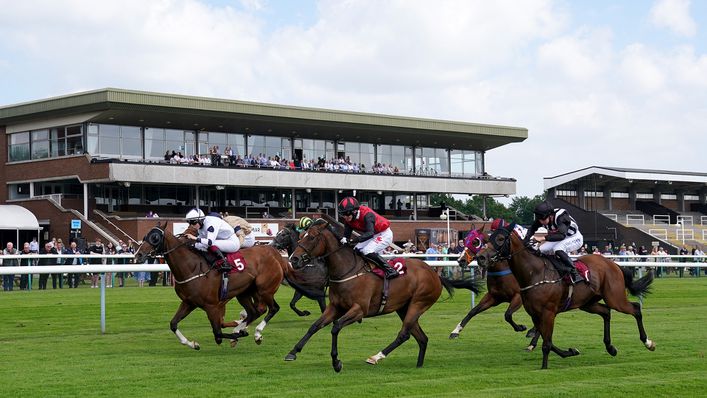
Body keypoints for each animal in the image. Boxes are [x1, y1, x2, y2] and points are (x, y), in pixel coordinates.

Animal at [134, 222, 284, 350]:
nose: (138, 255)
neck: (192, 268)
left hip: (265, 290)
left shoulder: (212, 306)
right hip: (244, 293)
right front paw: (193, 344)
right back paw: (241, 329)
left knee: (273, 308)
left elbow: (217, 334)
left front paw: (240, 333)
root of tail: (274, 255)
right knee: (254, 311)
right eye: (145, 236)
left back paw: (255, 333)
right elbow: (173, 324)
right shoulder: (189, 302)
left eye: (155, 237)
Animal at [284, 219, 478, 372]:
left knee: (404, 334)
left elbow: (335, 327)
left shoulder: (359, 310)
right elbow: (315, 326)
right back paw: (418, 365)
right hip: (404, 308)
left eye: (311, 237)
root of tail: (435, 274)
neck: (346, 270)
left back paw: (376, 357)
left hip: (418, 303)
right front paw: (292, 352)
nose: (294, 259)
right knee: (421, 338)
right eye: (300, 237)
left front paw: (336, 362)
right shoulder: (335, 307)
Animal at [476, 224, 660, 370]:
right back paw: (610, 347)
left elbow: (547, 343)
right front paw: (570, 351)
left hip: (615, 298)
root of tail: (613, 264)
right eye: (487, 238)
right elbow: (547, 340)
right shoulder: (535, 314)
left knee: (635, 308)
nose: (481, 257)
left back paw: (648, 342)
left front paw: (544, 367)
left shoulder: (549, 312)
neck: (534, 273)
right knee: (606, 312)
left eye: (500, 239)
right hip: (588, 303)